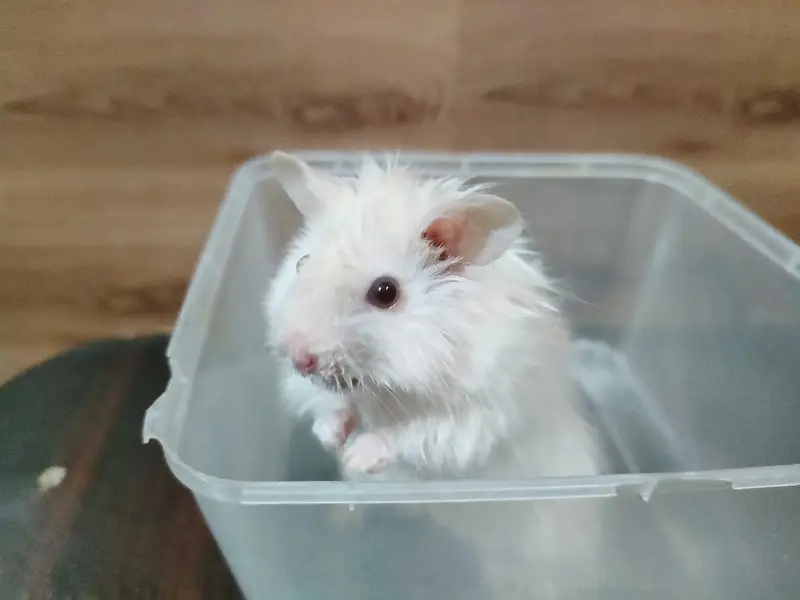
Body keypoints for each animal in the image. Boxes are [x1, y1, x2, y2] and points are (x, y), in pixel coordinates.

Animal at [264, 150, 600, 482]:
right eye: (301, 263)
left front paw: (356, 456)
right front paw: (330, 437)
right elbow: (333, 402)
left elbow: (415, 433)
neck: (388, 386)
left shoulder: (478, 416)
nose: (297, 358)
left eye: (385, 292)